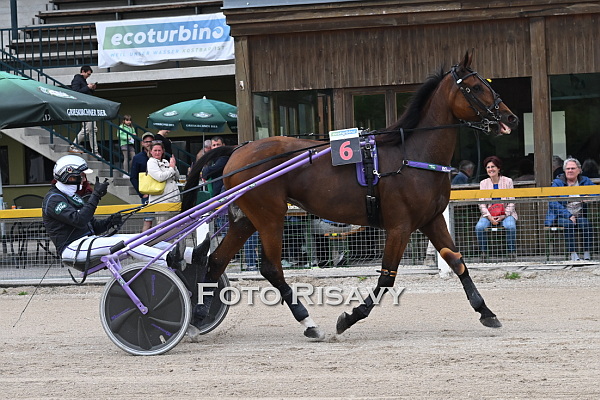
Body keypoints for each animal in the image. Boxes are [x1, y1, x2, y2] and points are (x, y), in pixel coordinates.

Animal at [183, 51, 519, 340]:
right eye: (476, 87)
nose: (511, 118)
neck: (411, 154)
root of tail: (238, 150)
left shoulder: (432, 219)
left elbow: (456, 261)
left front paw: (486, 312)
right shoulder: (400, 226)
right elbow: (386, 277)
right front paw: (350, 317)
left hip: (247, 218)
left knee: (216, 260)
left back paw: (198, 316)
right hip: (270, 216)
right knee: (270, 268)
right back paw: (308, 322)